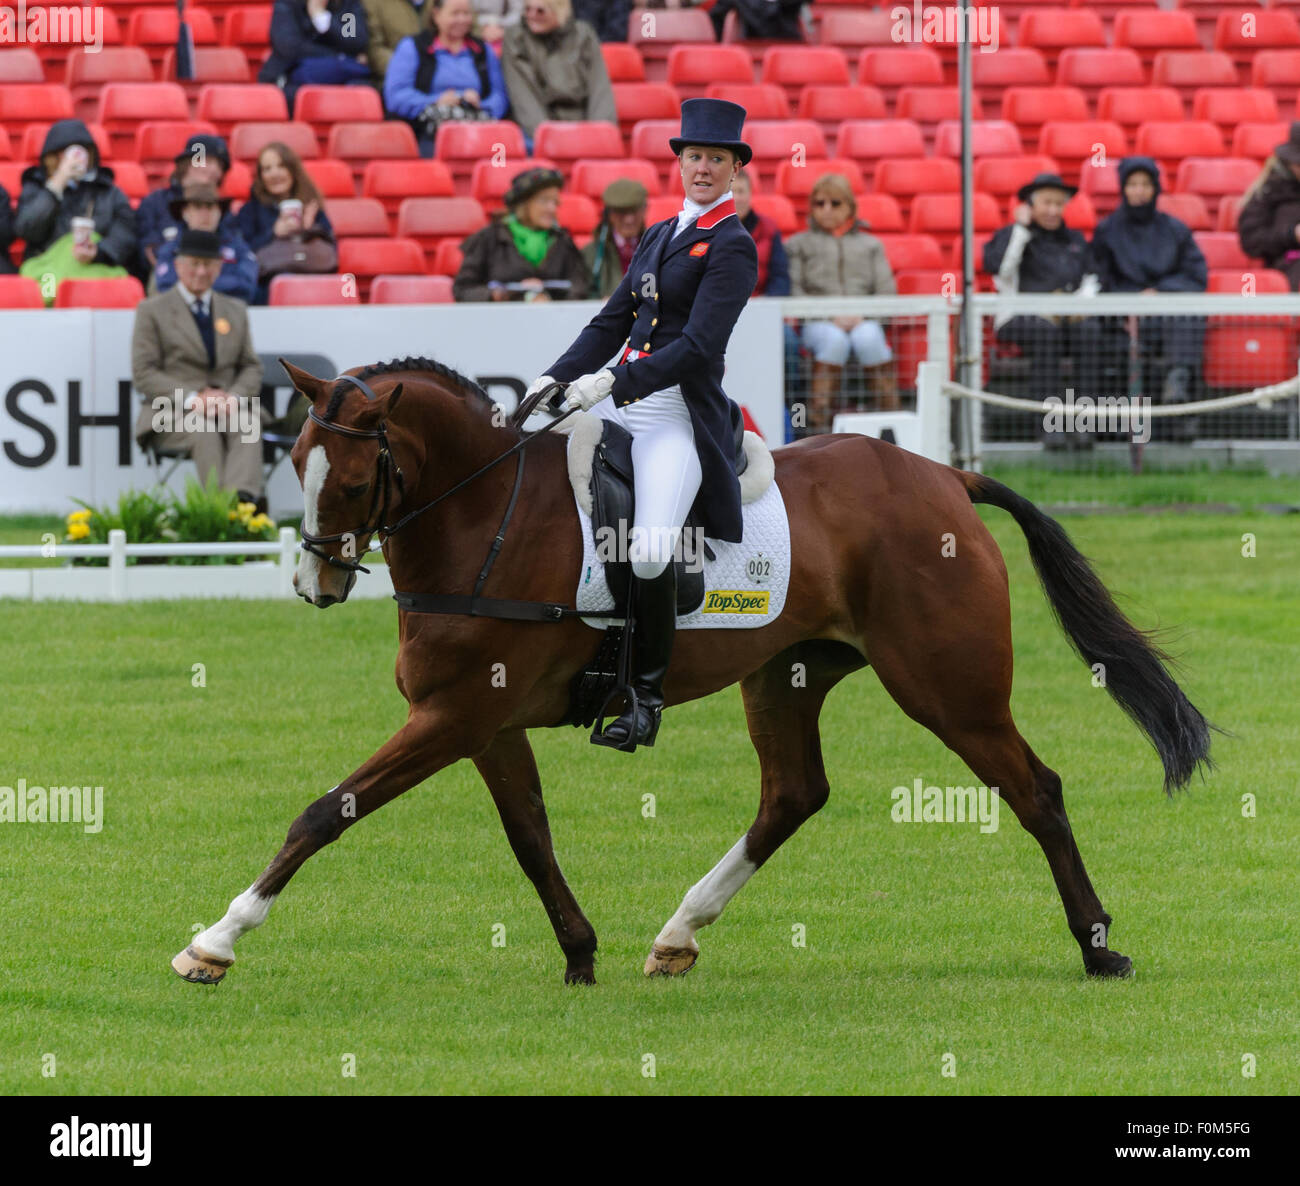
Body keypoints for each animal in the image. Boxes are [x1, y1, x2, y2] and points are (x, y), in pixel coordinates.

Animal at [167, 356, 1211, 988]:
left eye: (349, 480)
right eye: (295, 465)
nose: (313, 583)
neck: (484, 518)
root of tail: (944, 477)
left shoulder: (453, 718)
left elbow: (324, 812)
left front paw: (215, 941)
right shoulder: (484, 723)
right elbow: (530, 837)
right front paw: (580, 954)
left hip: (948, 688)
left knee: (1036, 789)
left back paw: (1098, 945)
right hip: (786, 675)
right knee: (793, 794)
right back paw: (677, 933)